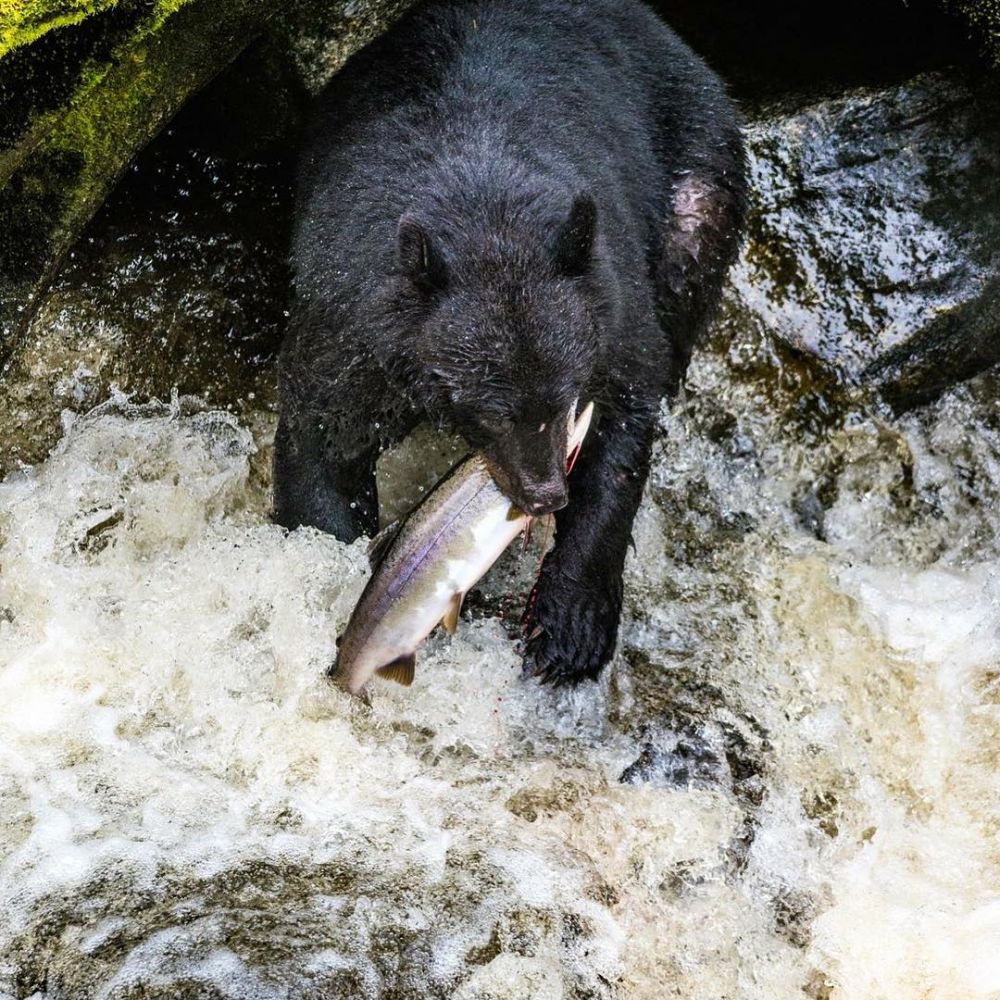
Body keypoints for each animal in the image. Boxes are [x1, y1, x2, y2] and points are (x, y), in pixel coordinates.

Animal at [274, 0, 744, 684]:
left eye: (567, 399)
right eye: (491, 411)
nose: (543, 492)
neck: (485, 213)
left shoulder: (609, 296)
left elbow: (626, 418)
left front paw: (568, 628)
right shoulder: (352, 318)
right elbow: (323, 440)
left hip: (695, 167)